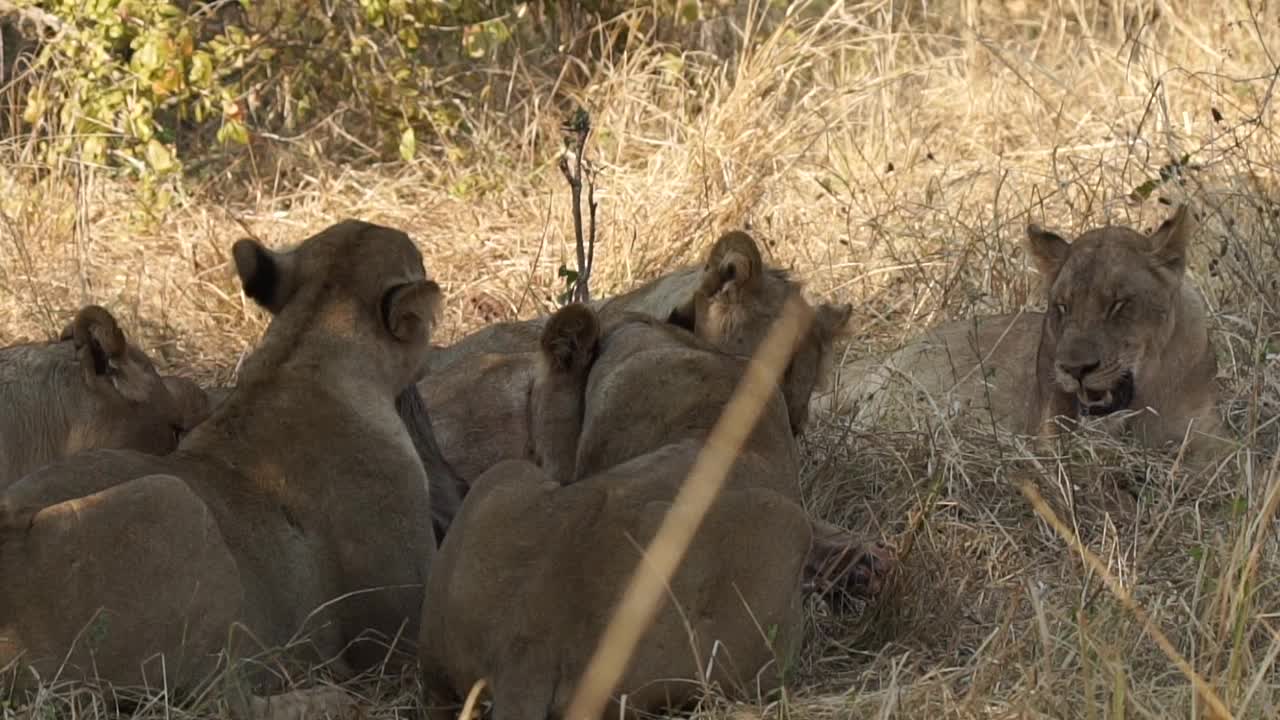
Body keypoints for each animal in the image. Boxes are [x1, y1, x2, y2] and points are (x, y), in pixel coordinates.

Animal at [814, 204, 1223, 456]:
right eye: (1062, 307)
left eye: (1118, 305)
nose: (1075, 370)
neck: (1146, 395)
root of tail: (893, 355)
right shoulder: (1054, 438)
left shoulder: (1210, 439)